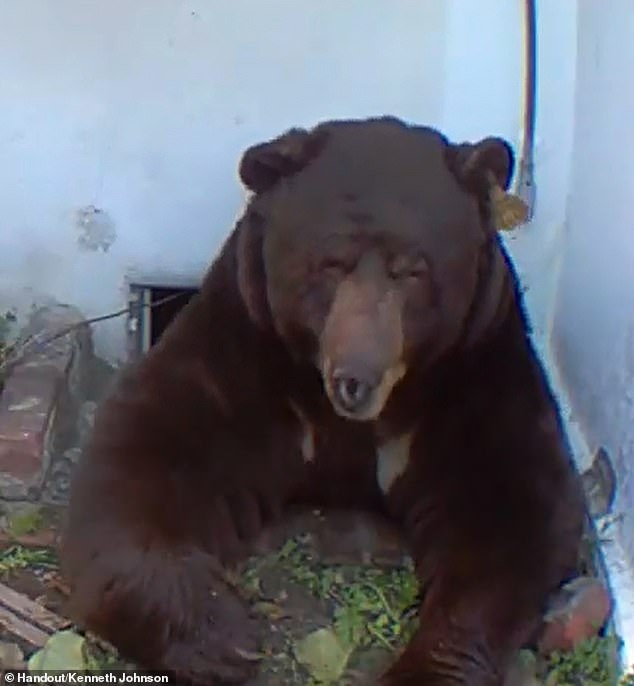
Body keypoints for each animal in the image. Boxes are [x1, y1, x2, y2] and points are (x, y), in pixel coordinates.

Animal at [60, 116, 586, 685]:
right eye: (331, 263)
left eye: (413, 270)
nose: (356, 378)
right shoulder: (245, 352)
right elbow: (145, 453)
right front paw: (222, 635)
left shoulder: (474, 369)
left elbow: (513, 509)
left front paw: (425, 665)